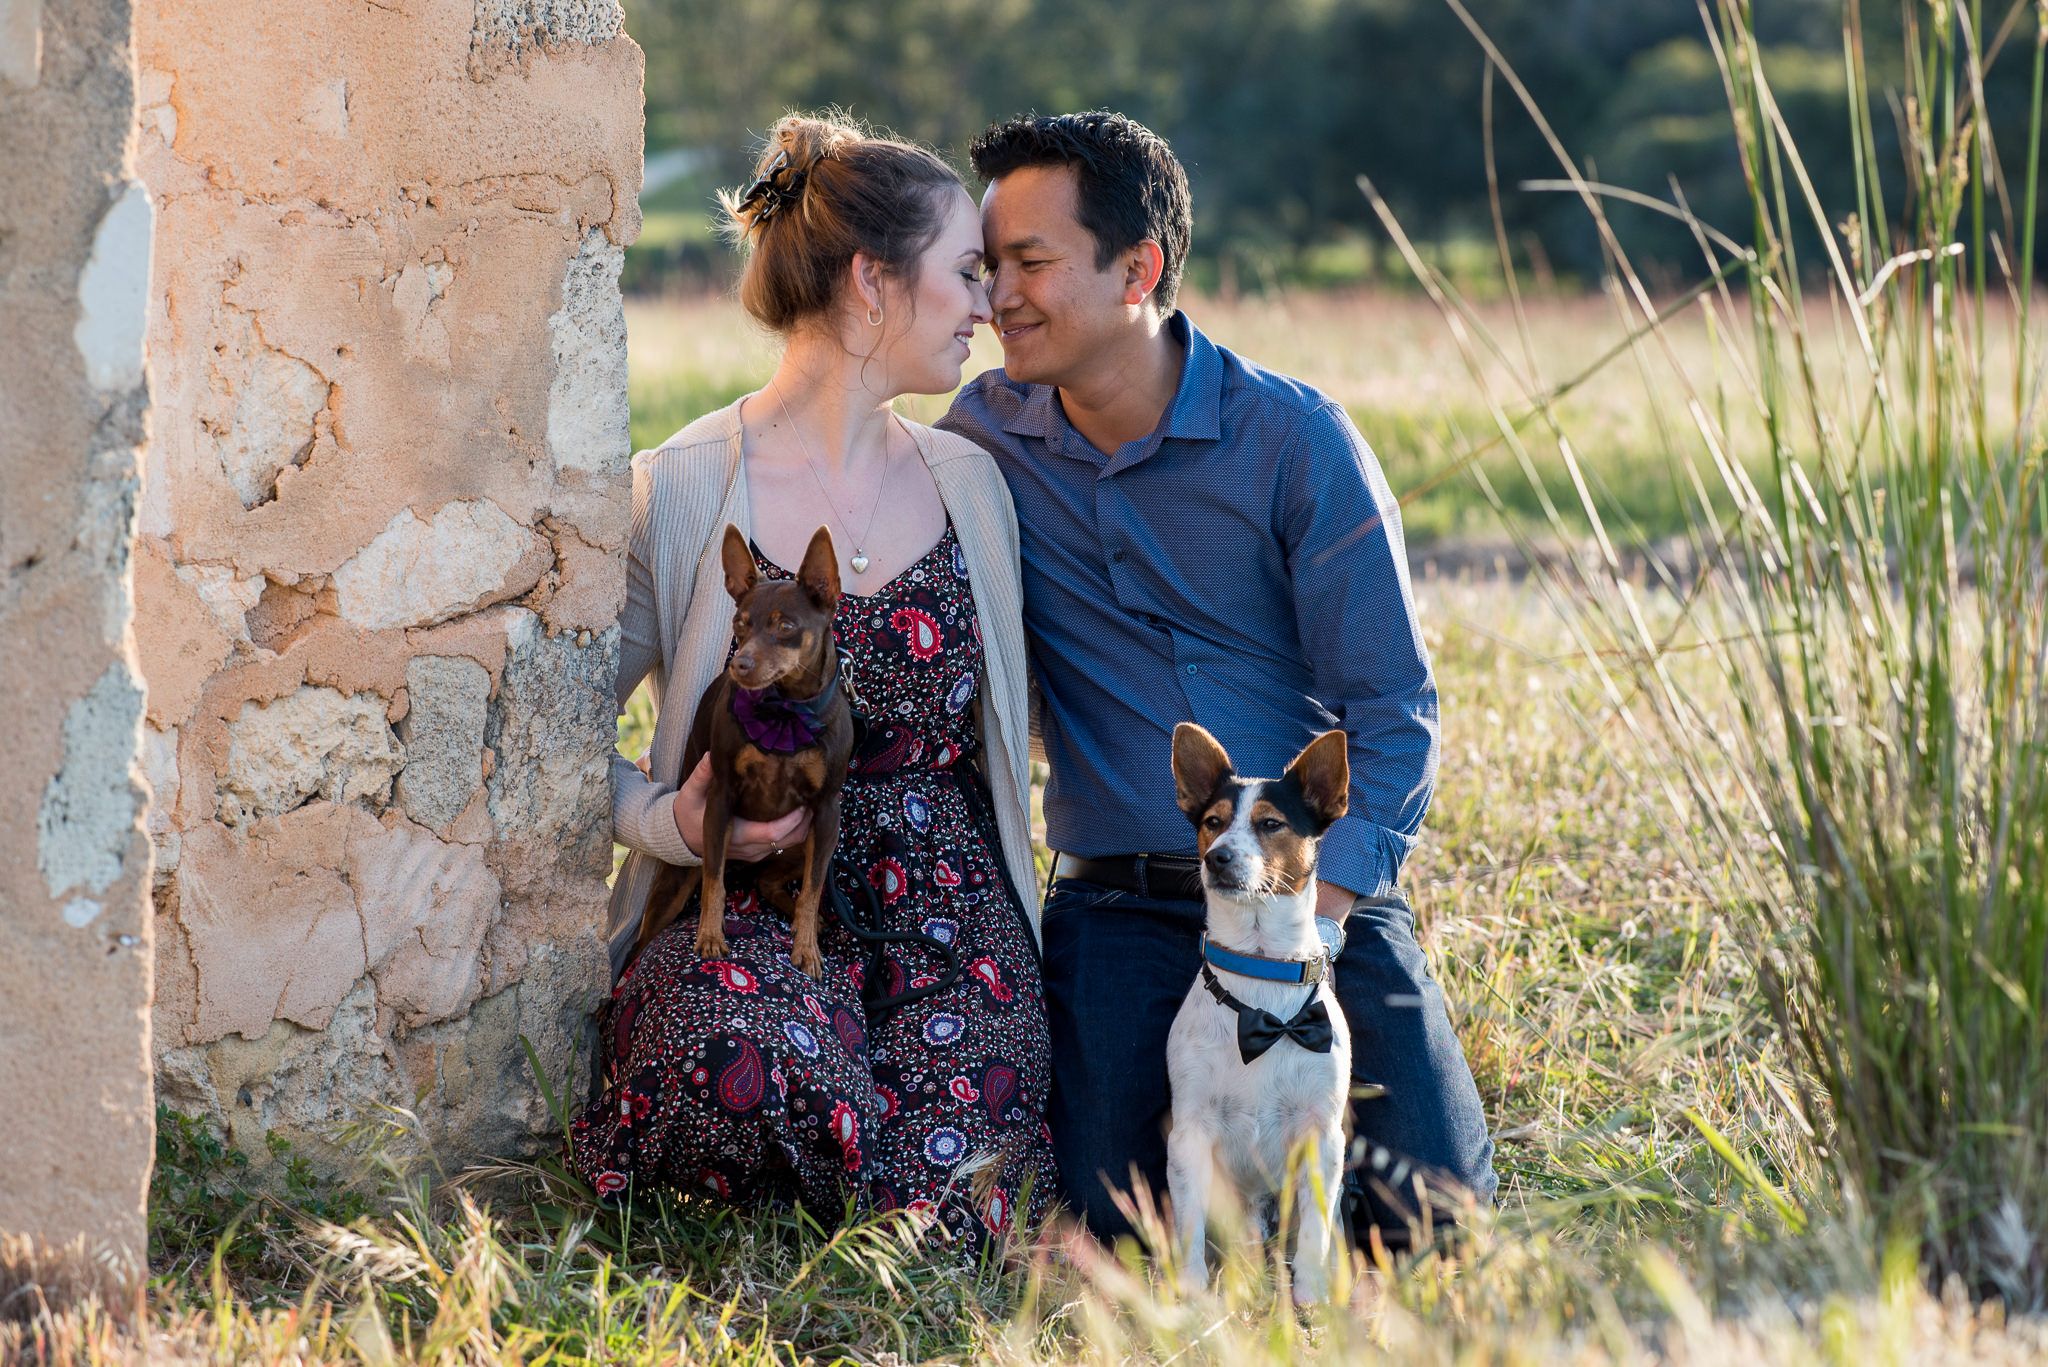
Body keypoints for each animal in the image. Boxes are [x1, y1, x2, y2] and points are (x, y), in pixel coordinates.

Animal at [634, 528, 851, 983]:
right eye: (740, 624)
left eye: (786, 626)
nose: (741, 665)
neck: (783, 709)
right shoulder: (719, 802)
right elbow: (714, 882)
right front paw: (710, 937)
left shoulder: (826, 814)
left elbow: (812, 891)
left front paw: (807, 949)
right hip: (675, 883)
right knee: (641, 947)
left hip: (808, 843)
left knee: (772, 882)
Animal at [1163, 725, 1351, 1303]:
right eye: (1213, 822)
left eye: (1270, 824)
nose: (1218, 858)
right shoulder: (1190, 1133)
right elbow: (1189, 1224)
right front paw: (1190, 1293)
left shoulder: (1322, 1133)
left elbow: (1314, 1227)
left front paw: (1310, 1292)